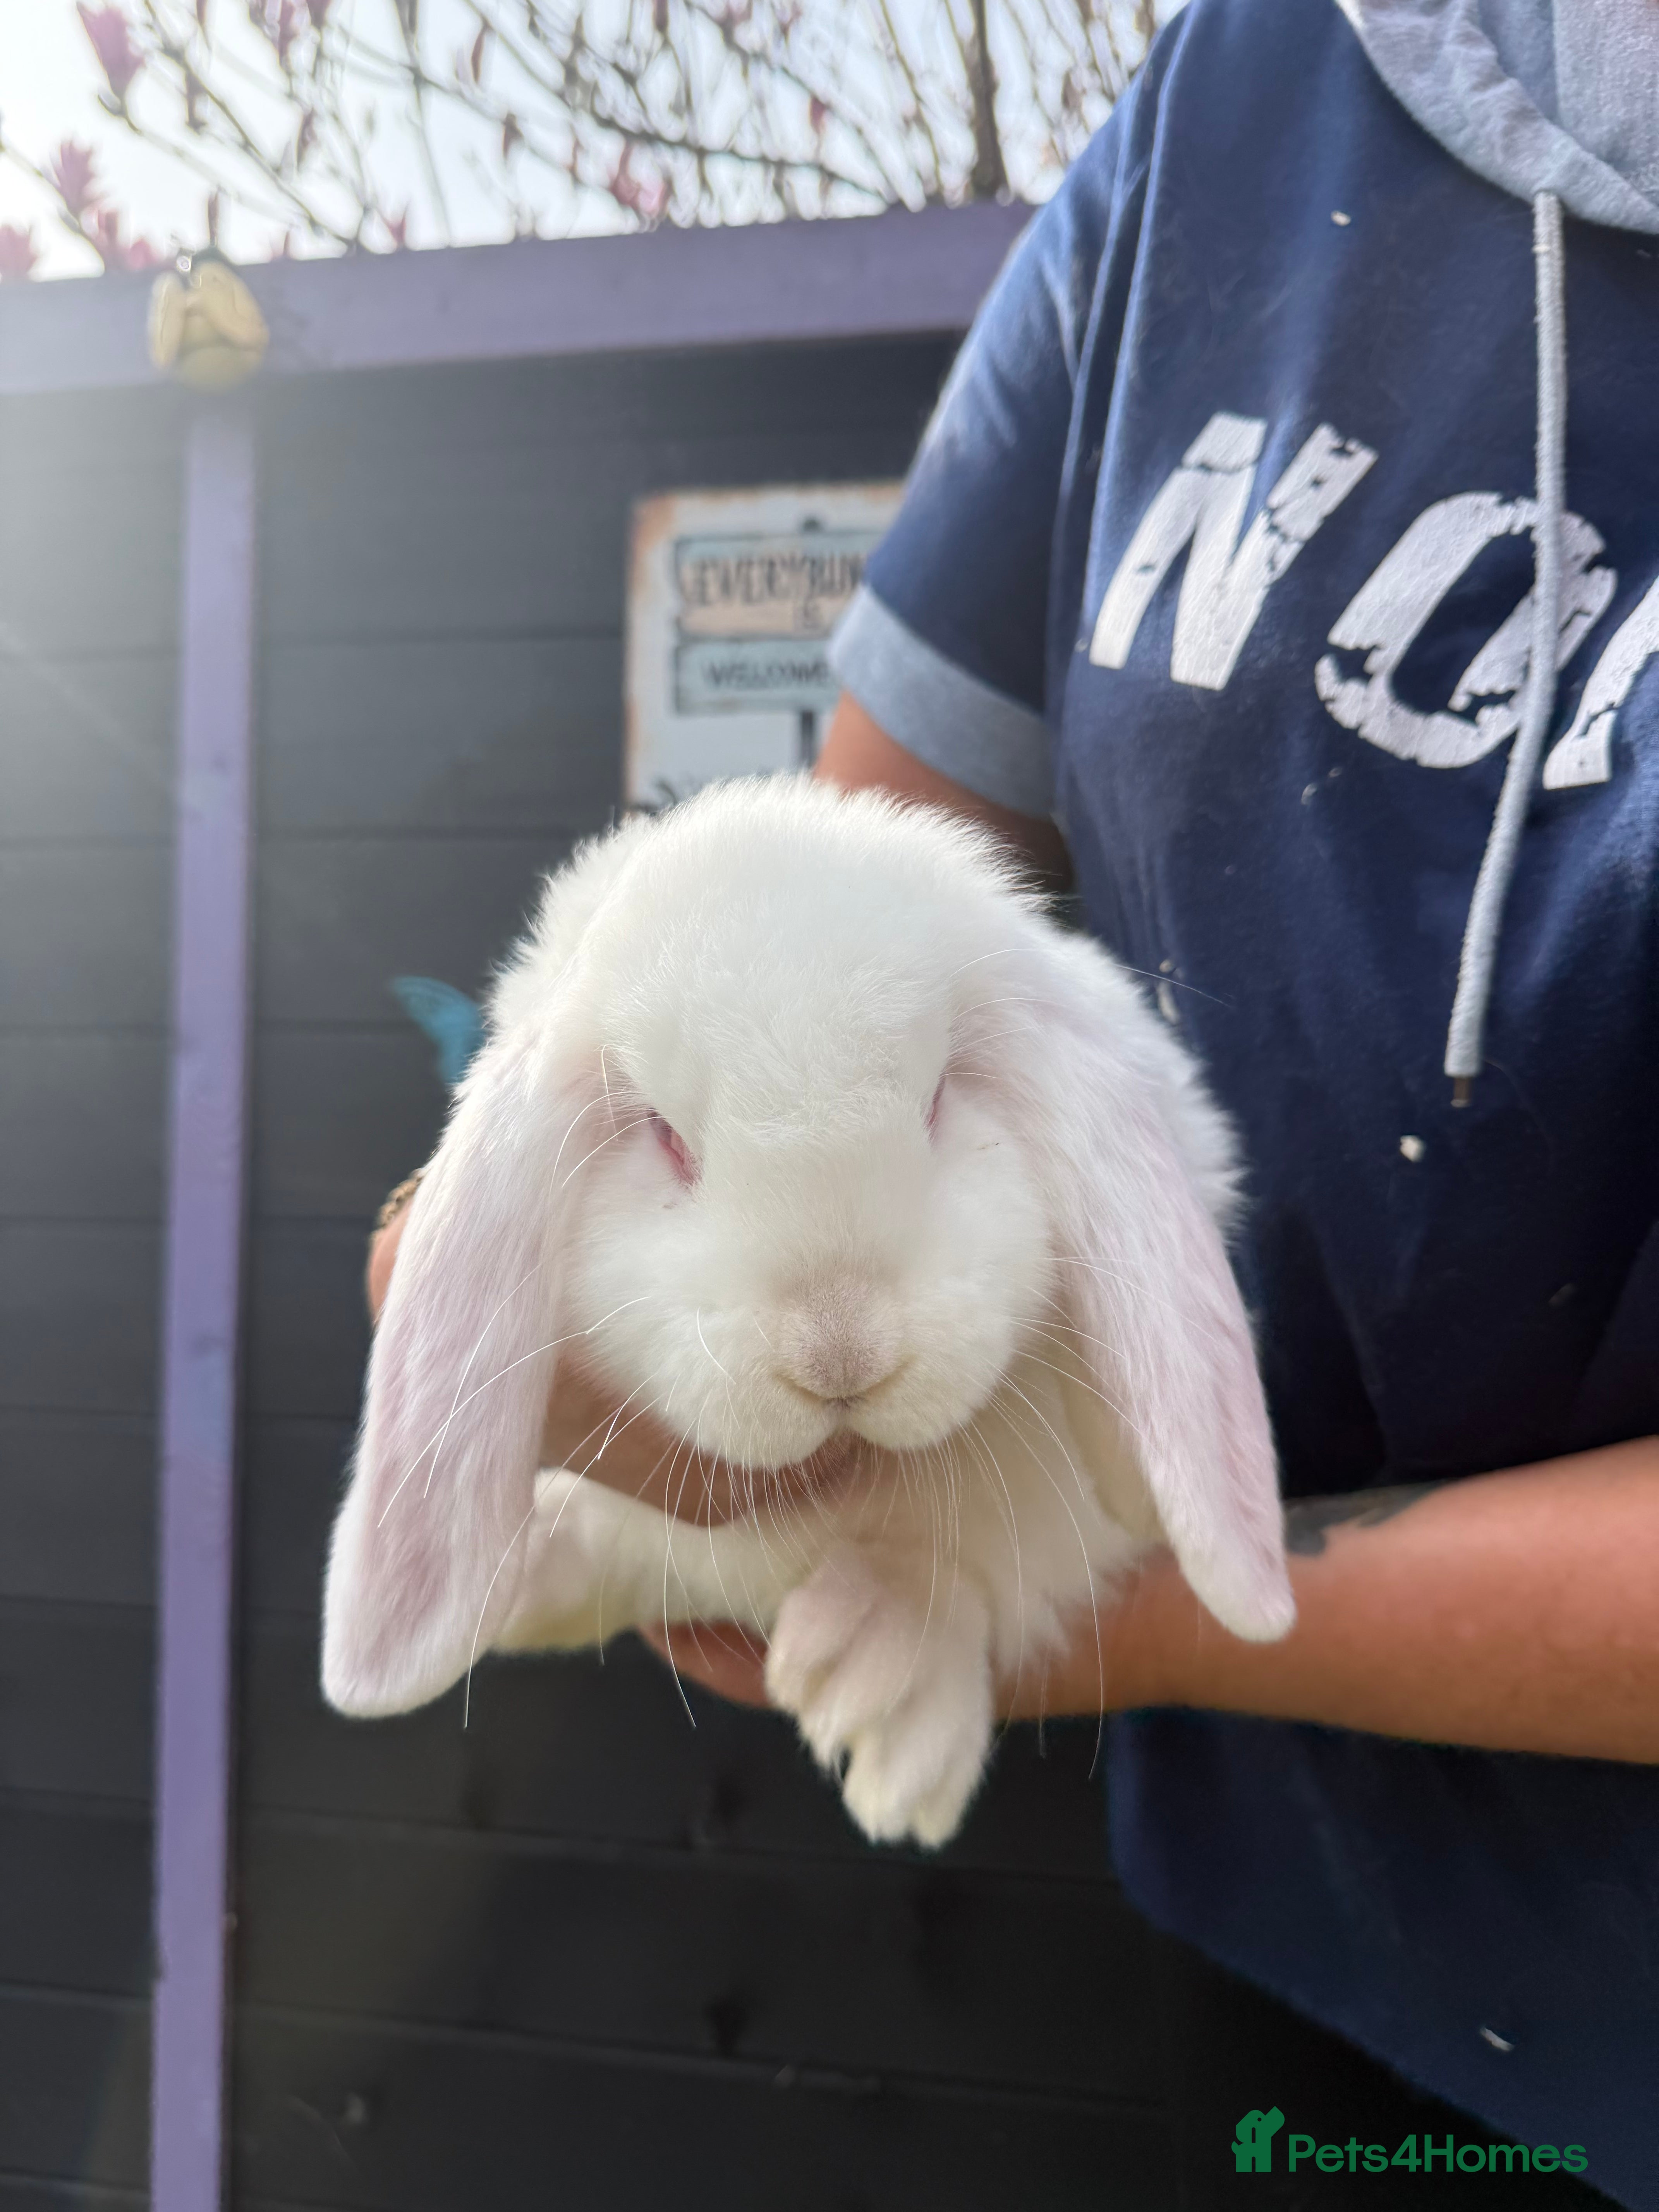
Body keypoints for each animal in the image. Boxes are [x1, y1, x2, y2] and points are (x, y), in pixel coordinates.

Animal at [321, 775, 1294, 1847]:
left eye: (938, 1100)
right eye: (665, 1135)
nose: (840, 1351)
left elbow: (985, 1565)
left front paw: (880, 1689)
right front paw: (532, 1572)